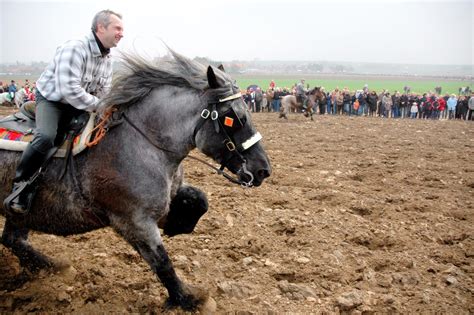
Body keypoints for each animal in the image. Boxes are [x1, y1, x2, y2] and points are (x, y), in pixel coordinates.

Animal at [0, 51, 272, 312]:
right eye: (234, 117)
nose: (263, 170)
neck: (142, 142)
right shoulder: (133, 221)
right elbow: (162, 262)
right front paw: (189, 298)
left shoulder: (165, 198)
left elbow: (199, 200)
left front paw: (177, 224)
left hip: (22, 215)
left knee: (14, 240)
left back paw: (54, 267)